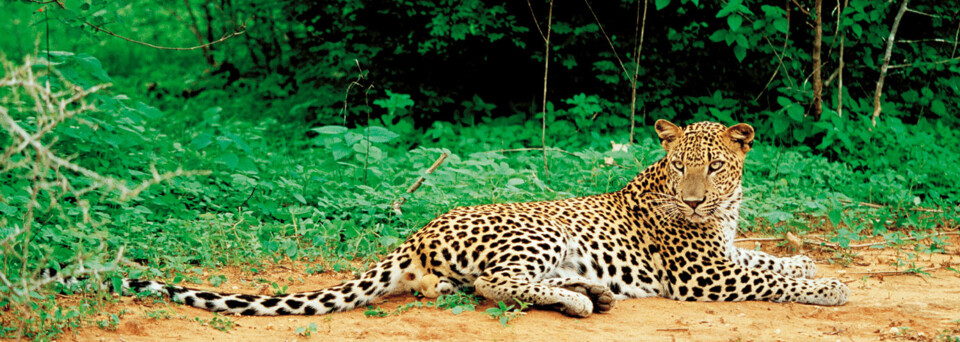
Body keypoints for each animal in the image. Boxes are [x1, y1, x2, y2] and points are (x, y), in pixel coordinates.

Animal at [56, 121, 844, 318]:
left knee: (468, 287)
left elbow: (768, 260)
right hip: (536, 233)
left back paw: (590, 291)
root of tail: (418, 232)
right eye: (681, 166)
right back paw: (582, 300)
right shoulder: (703, 272)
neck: (723, 213)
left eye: (713, 167)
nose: (694, 199)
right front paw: (829, 286)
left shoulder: (726, 250)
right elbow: (767, 279)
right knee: (498, 285)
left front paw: (807, 262)